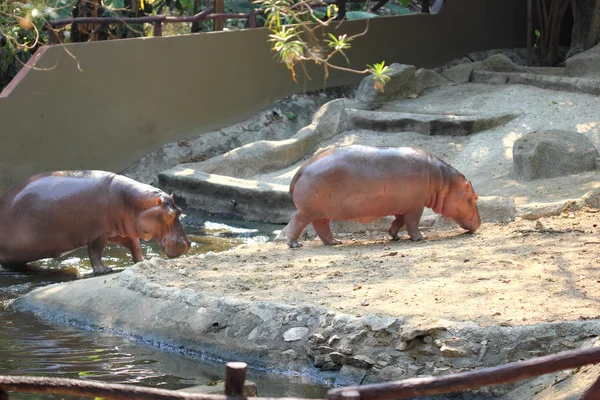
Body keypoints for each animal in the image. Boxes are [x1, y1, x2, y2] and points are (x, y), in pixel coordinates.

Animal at [0, 170, 191, 274]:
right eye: (169, 215)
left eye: (180, 211)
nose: (188, 244)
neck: (132, 203)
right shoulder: (100, 233)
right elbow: (95, 252)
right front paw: (104, 270)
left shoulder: (122, 231)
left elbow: (135, 245)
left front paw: (143, 261)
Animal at [286, 145, 482, 248]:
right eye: (475, 197)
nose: (480, 223)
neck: (444, 183)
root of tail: (302, 169)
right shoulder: (416, 206)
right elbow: (412, 223)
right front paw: (421, 238)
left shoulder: (405, 205)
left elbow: (398, 222)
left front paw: (394, 236)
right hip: (308, 211)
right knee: (296, 219)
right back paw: (295, 244)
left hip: (321, 212)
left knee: (322, 227)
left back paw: (335, 242)